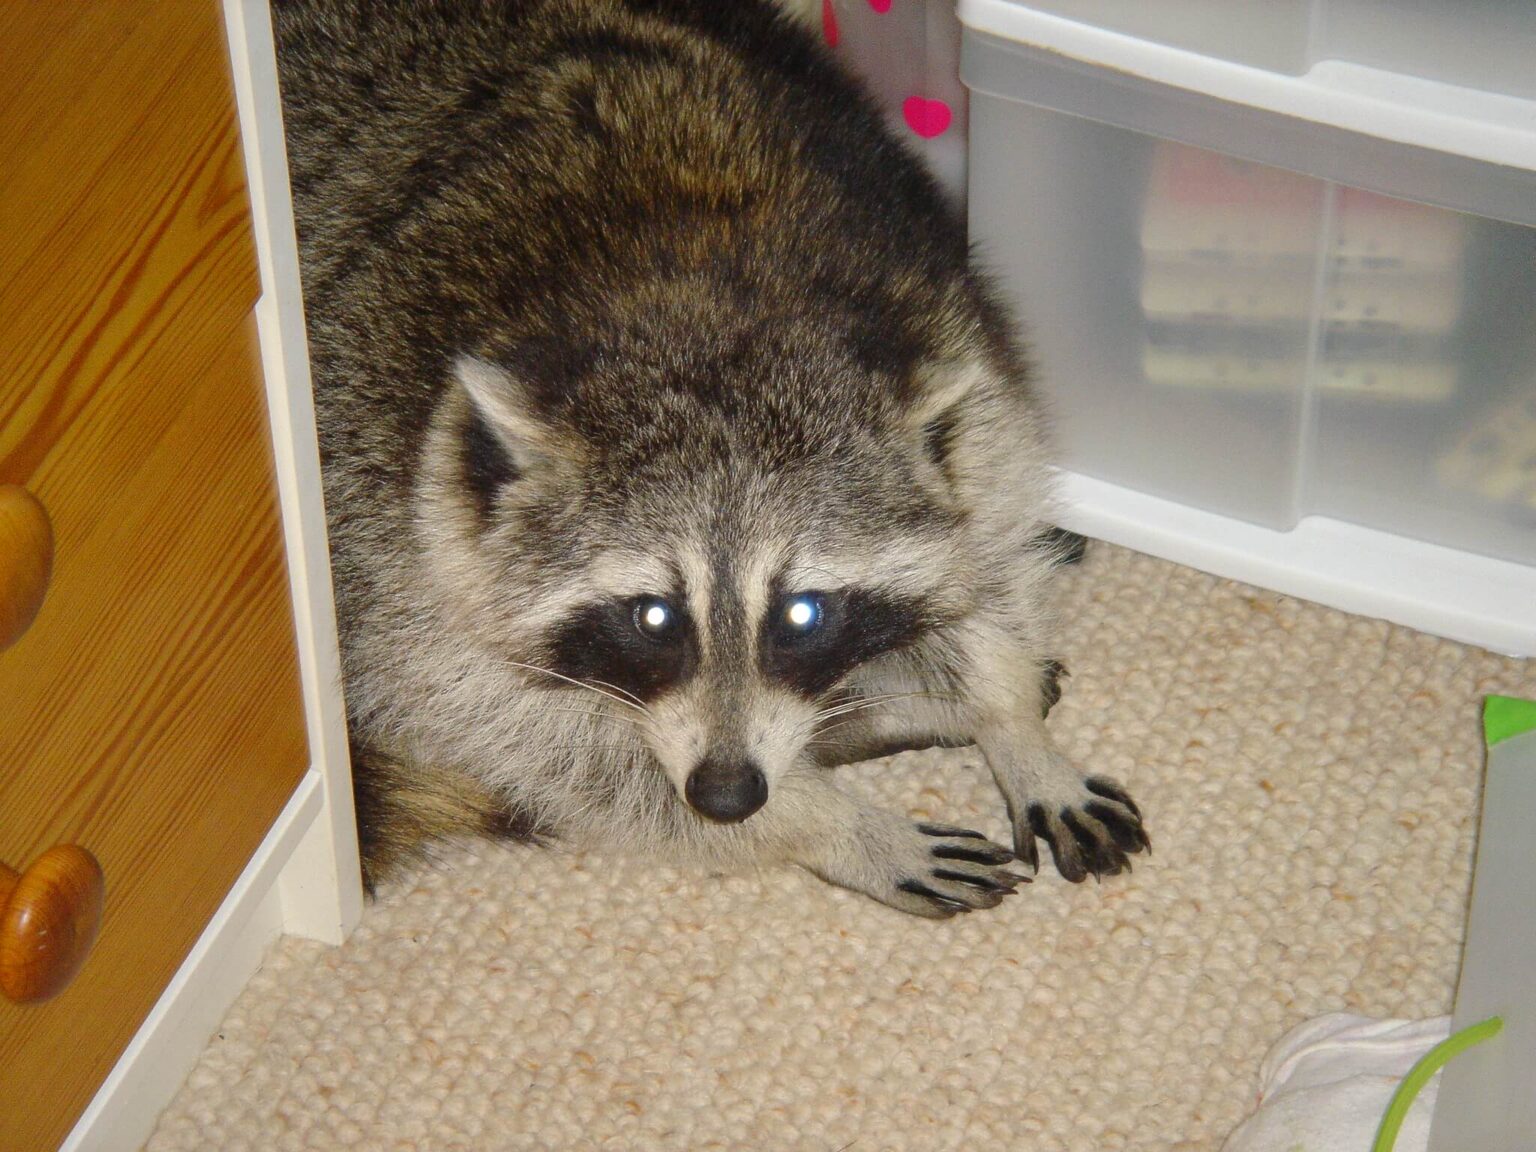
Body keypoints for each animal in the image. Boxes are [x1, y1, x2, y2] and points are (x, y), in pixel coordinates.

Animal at [275, 0, 1149, 917]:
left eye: (803, 614)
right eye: (652, 617)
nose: (727, 794)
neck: (690, 289)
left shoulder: (951, 333)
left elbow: (989, 545)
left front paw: (1009, 720)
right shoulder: (388, 526)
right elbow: (533, 741)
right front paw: (833, 823)